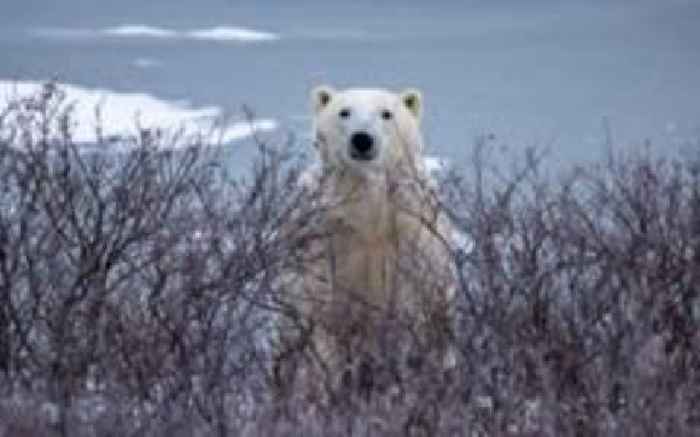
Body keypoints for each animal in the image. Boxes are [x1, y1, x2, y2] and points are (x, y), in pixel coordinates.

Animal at [274, 85, 454, 398]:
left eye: (387, 113)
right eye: (344, 111)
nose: (362, 139)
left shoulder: (410, 238)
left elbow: (410, 310)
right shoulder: (324, 242)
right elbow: (321, 313)